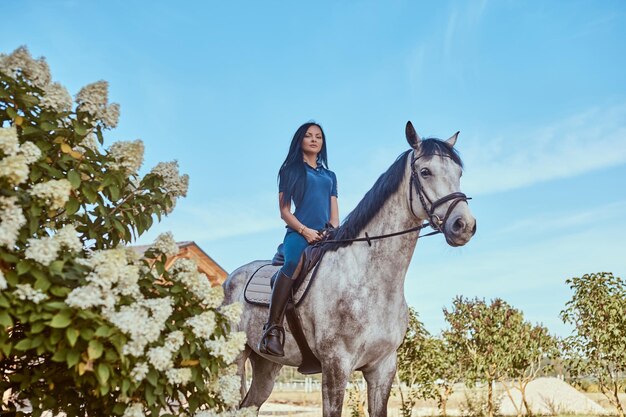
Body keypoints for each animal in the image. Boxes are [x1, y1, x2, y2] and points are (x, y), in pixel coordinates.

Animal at [222, 121, 476, 416]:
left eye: (458, 173)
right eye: (425, 172)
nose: (464, 225)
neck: (368, 279)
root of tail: (230, 279)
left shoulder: (382, 368)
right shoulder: (336, 366)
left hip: (266, 365)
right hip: (233, 361)